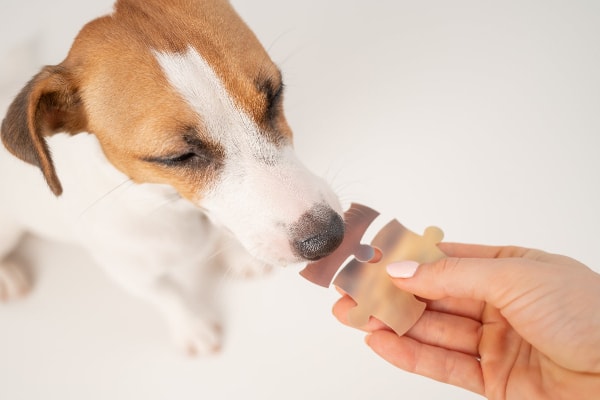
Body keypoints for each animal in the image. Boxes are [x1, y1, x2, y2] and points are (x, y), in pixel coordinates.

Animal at [0, 0, 342, 356]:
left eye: (276, 94)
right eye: (176, 157)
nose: (329, 238)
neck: (168, 204)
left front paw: (236, 254)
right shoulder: (130, 272)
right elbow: (168, 294)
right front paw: (193, 326)